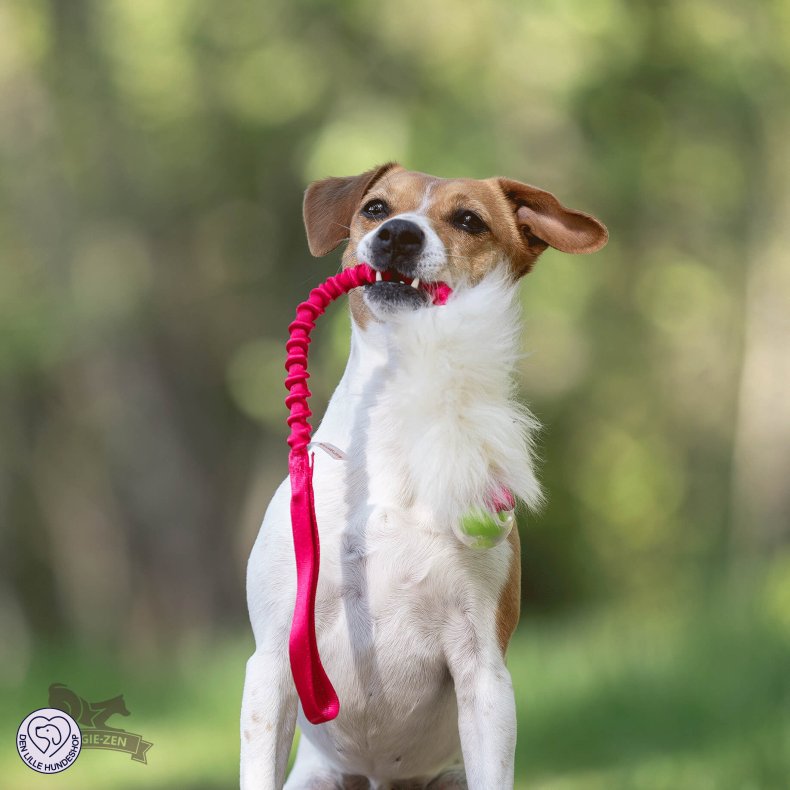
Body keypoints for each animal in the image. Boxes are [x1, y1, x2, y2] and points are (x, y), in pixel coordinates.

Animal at [244, 164, 608, 788]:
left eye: (469, 220)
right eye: (375, 208)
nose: (397, 234)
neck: (397, 438)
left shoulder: (483, 673)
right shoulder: (272, 665)